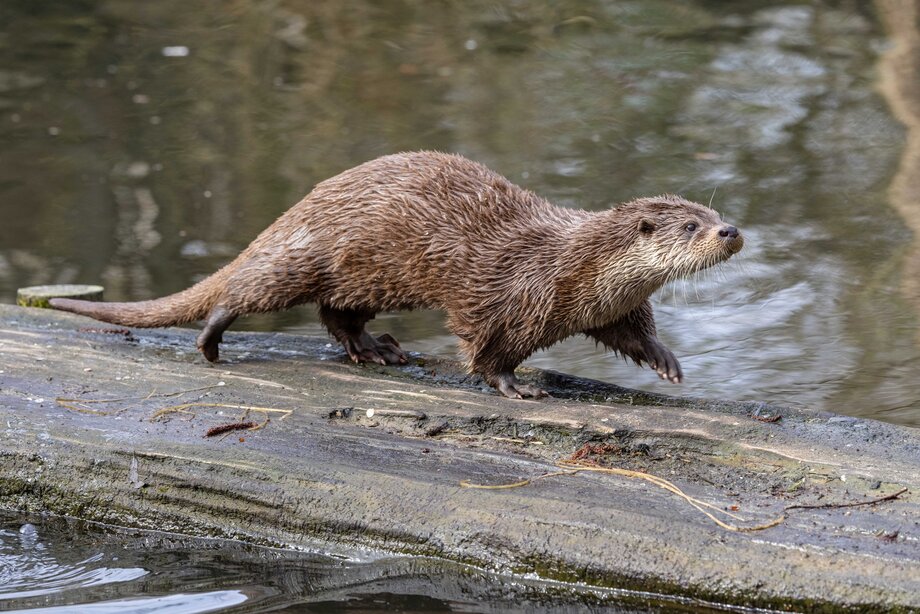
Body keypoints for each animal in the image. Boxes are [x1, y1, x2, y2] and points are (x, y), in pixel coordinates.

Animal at [50, 154, 744, 400]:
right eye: (692, 226)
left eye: (715, 213)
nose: (731, 230)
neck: (571, 266)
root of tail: (303, 206)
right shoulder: (508, 295)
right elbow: (485, 347)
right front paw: (512, 385)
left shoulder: (604, 305)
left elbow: (630, 332)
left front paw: (665, 360)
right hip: (308, 257)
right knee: (248, 291)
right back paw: (213, 342)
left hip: (361, 278)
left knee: (336, 315)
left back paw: (378, 350)